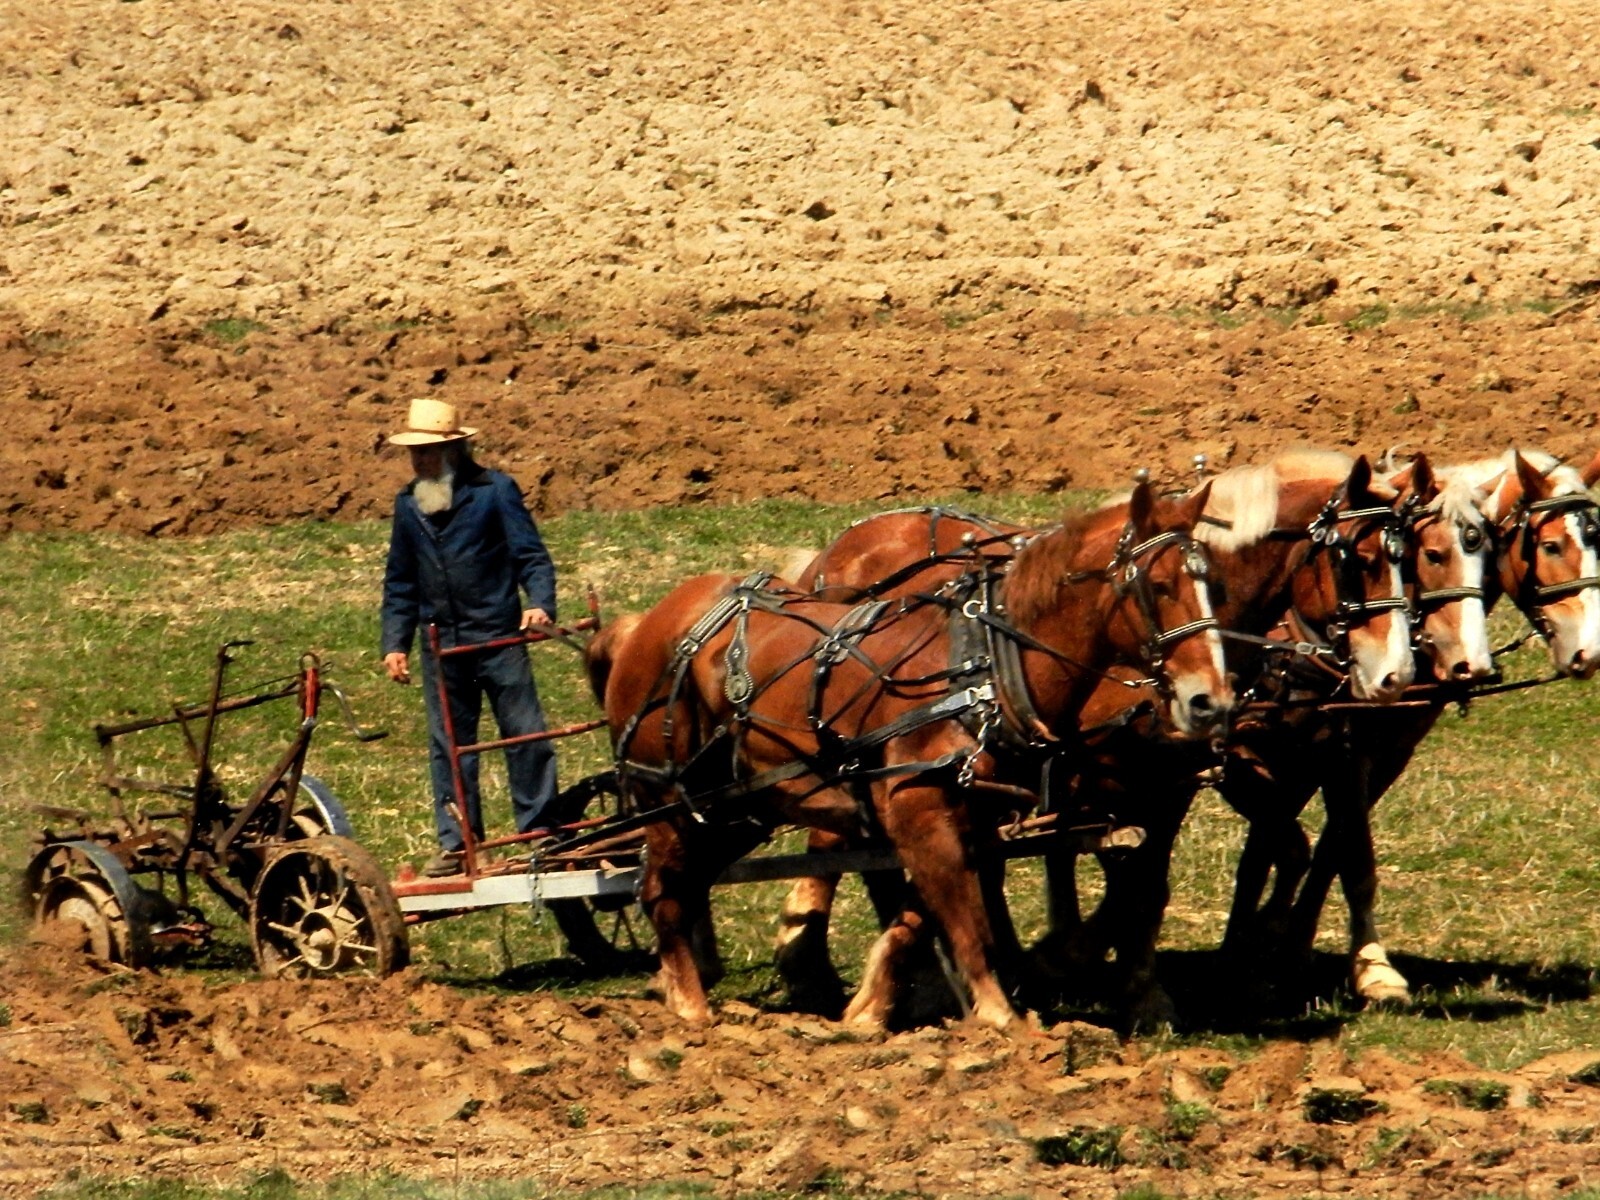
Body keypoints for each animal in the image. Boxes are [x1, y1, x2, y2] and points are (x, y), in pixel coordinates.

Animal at [588, 481, 1232, 1027]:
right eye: (1159, 585)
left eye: (1216, 587)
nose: (1209, 701)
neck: (984, 666)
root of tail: (645, 623)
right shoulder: (917, 806)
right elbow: (965, 920)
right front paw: (1000, 1018)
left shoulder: (974, 822)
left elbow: (926, 912)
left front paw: (874, 1010)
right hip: (667, 799)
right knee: (660, 892)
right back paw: (691, 1010)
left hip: (733, 810)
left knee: (685, 885)